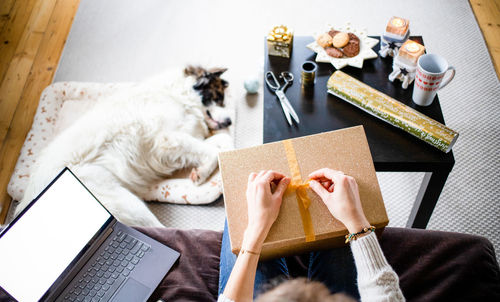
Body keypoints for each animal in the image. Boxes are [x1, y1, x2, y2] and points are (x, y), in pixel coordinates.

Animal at [15, 66, 232, 226]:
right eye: (218, 97)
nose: (230, 121)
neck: (178, 95)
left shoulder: (183, 137)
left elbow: (222, 142)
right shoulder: (167, 139)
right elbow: (212, 150)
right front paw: (202, 172)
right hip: (127, 204)